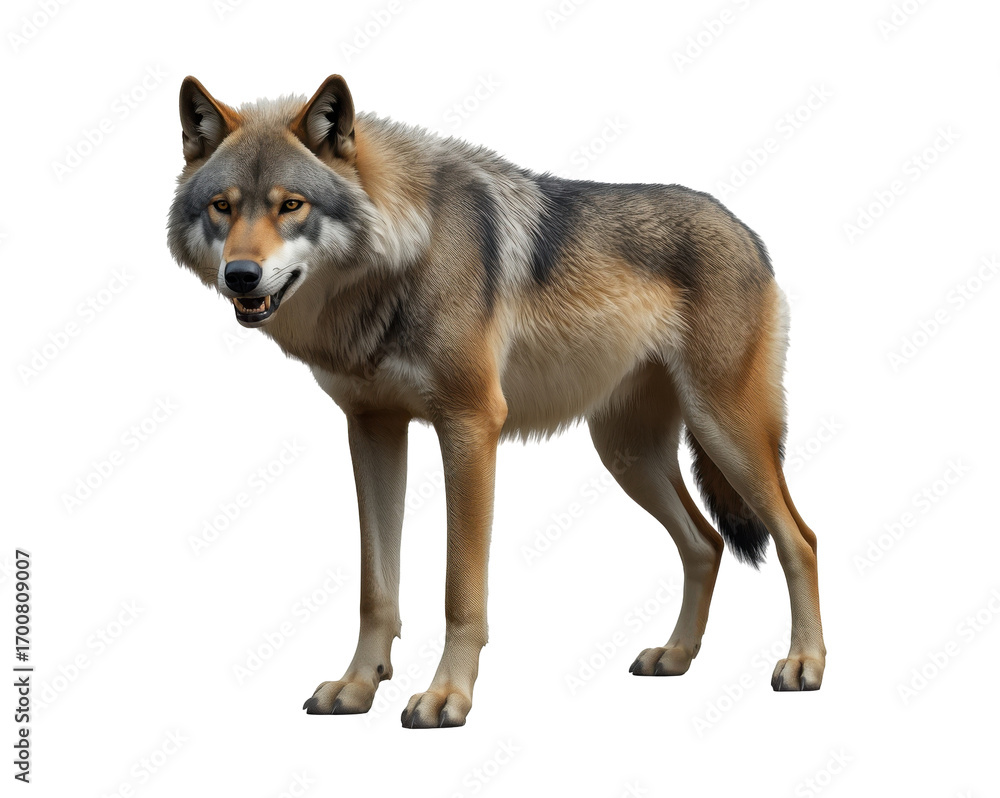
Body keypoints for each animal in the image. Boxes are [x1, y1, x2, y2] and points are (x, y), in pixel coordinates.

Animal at [167, 75, 826, 728]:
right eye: (223, 206)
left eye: (291, 205)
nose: (241, 275)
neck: (405, 254)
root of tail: (747, 232)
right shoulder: (372, 428)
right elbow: (376, 589)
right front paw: (357, 686)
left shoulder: (470, 424)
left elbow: (460, 587)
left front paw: (445, 696)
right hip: (629, 456)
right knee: (706, 544)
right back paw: (676, 656)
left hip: (724, 434)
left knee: (800, 539)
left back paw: (804, 665)